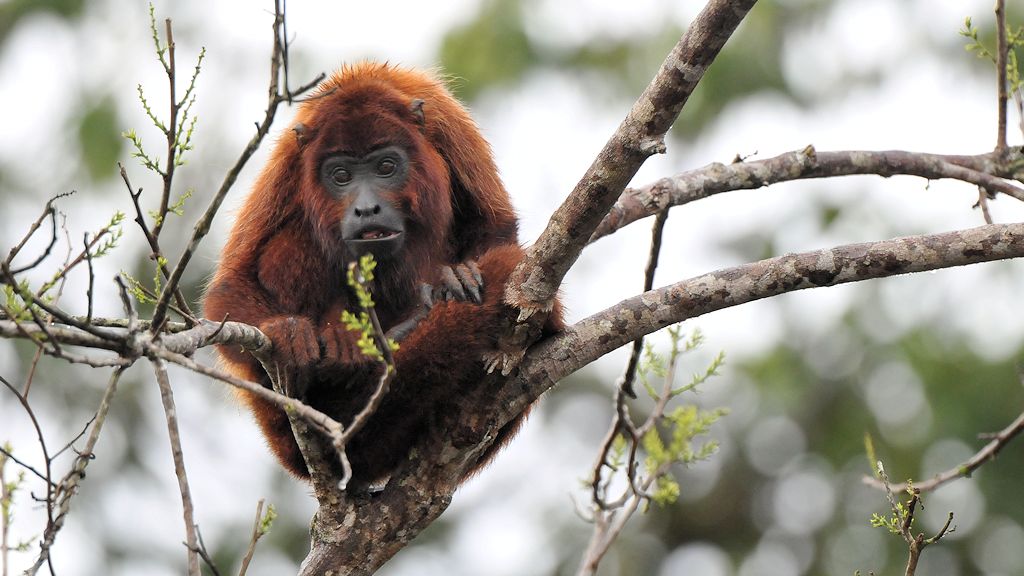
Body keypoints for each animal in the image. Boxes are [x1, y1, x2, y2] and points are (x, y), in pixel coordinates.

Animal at [203, 62, 563, 485]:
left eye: (386, 167)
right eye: (341, 175)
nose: (366, 208)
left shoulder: (450, 129)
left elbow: (496, 227)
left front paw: (457, 275)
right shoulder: (289, 163)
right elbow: (230, 284)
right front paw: (286, 332)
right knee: (293, 240)